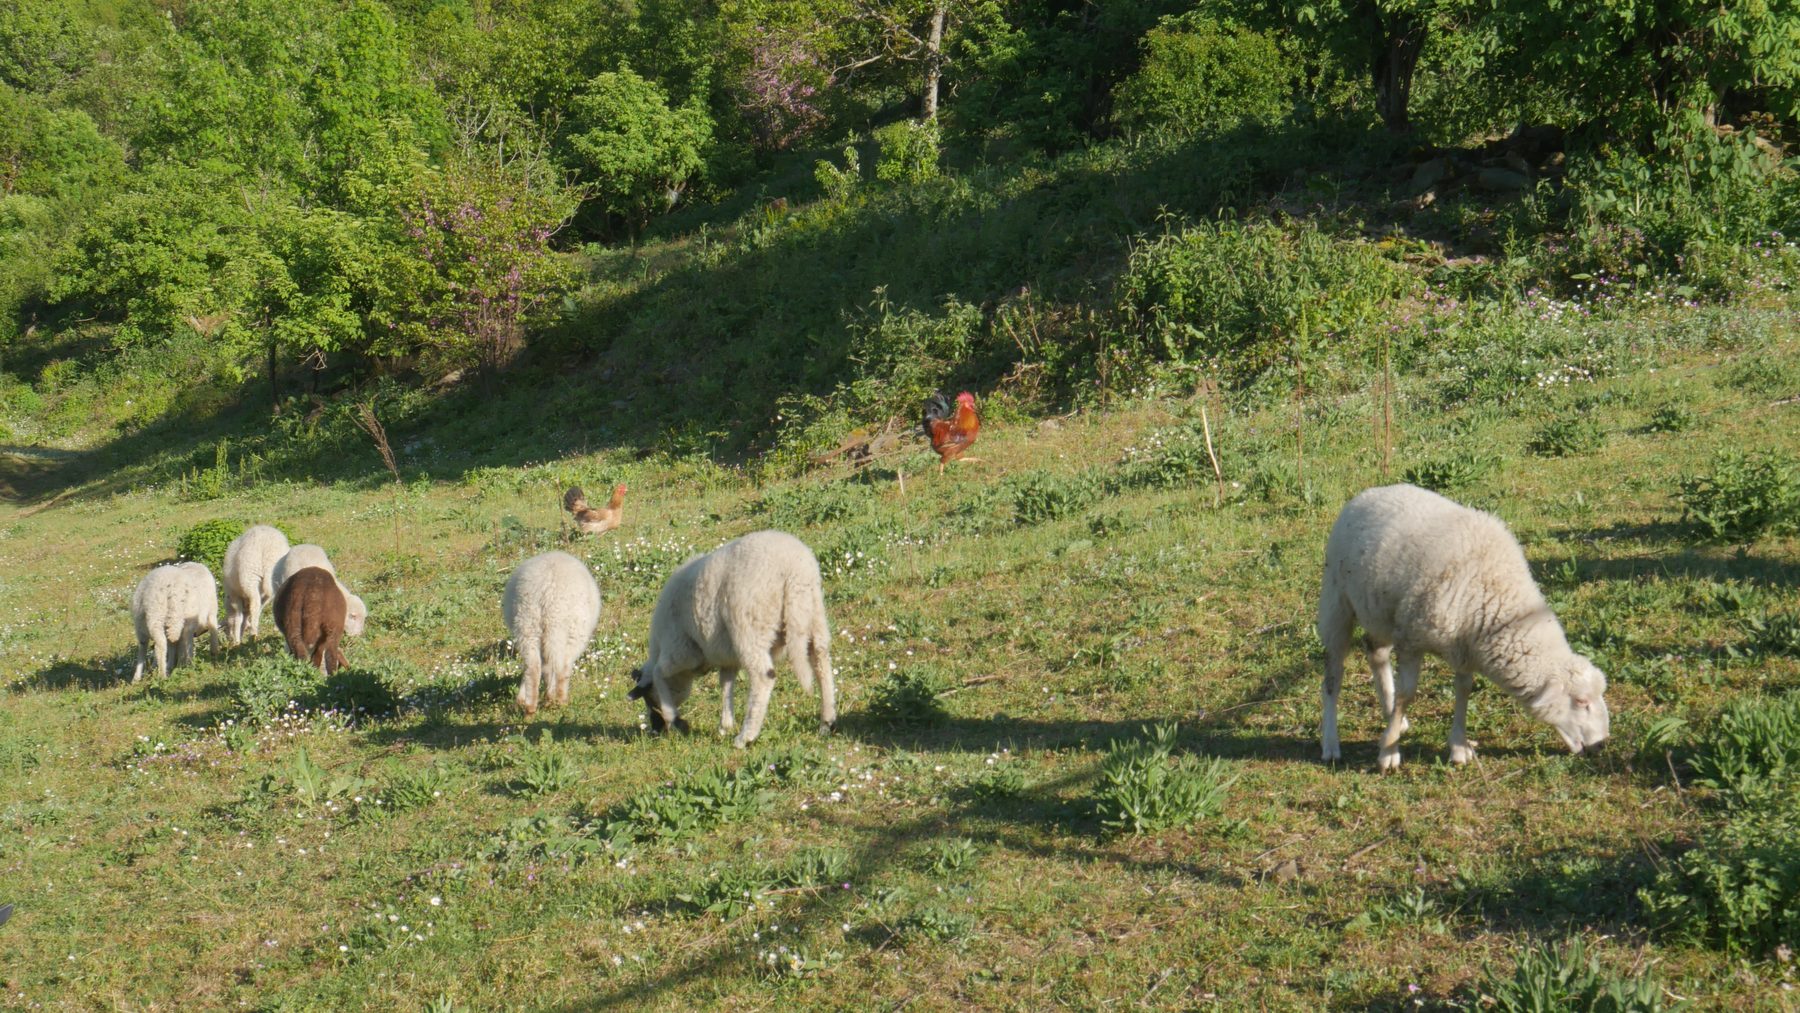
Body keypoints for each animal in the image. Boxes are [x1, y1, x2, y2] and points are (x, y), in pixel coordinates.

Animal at [502, 551, 602, 716]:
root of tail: (548, 591)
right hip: (573, 630)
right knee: (563, 666)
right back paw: (560, 701)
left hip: (527, 623)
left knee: (534, 667)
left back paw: (530, 707)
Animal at [628, 530, 836, 748]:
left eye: (649, 700)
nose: (655, 730)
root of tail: (793, 570)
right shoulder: (726, 656)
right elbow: (726, 683)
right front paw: (725, 725)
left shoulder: (681, 650)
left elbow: (659, 673)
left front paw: (676, 720)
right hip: (813, 615)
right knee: (821, 662)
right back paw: (827, 723)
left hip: (750, 627)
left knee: (764, 676)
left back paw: (745, 737)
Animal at [1317, 483, 1611, 772]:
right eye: (1581, 702)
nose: (1601, 745)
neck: (1496, 593)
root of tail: (1370, 491)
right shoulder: (1411, 639)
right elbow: (1407, 694)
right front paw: (1389, 752)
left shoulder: (1465, 646)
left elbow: (1464, 689)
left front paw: (1458, 746)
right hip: (1336, 600)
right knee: (1333, 677)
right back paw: (1331, 744)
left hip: (1379, 610)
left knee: (1375, 653)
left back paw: (1392, 715)